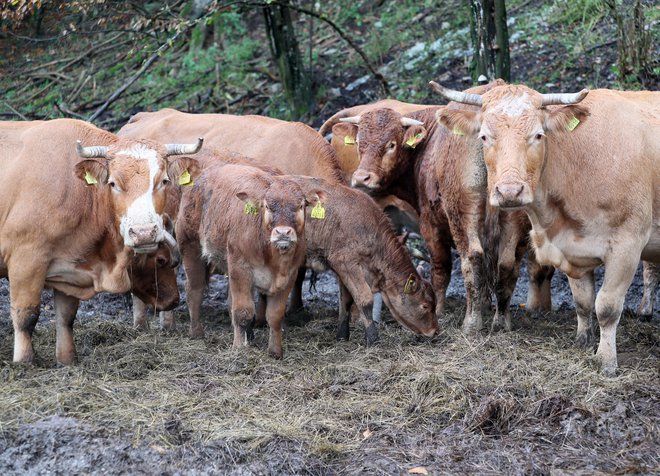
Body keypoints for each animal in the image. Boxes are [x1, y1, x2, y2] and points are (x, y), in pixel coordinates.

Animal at [0, 119, 201, 364]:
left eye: (163, 181)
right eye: (113, 183)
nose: (144, 232)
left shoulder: (70, 268)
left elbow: (66, 317)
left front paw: (67, 360)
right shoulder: (26, 260)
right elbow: (25, 316)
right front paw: (24, 362)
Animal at [175, 163, 320, 356]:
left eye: (301, 205)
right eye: (267, 206)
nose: (283, 232)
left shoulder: (290, 275)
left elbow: (275, 316)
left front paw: (275, 352)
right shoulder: (240, 268)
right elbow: (242, 311)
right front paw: (238, 348)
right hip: (190, 246)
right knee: (194, 289)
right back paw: (196, 332)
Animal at [430, 84, 656, 376]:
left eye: (538, 135)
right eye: (484, 136)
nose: (510, 191)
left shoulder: (627, 245)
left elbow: (606, 306)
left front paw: (606, 361)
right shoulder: (573, 248)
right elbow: (583, 301)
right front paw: (582, 342)